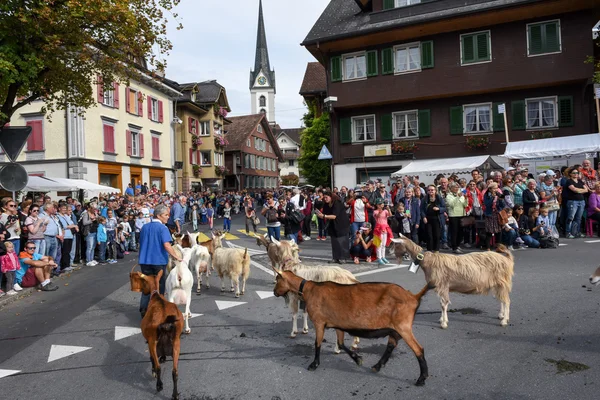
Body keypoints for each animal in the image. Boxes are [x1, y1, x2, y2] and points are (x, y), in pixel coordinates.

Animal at [132, 268, 184, 400]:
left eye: (143, 282)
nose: (143, 291)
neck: (156, 296)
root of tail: (165, 322)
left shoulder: (150, 342)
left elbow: (152, 360)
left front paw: (154, 372)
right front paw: (164, 358)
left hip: (153, 342)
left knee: (158, 367)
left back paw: (159, 385)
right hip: (176, 343)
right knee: (175, 372)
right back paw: (175, 394)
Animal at [272, 268, 432, 386]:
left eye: (277, 280)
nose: (274, 292)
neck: (309, 289)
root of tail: (414, 297)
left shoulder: (319, 322)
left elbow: (317, 343)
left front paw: (314, 364)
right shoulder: (337, 324)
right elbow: (341, 343)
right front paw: (357, 359)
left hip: (403, 327)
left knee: (419, 349)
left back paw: (421, 378)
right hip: (395, 329)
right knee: (391, 345)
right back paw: (377, 366)